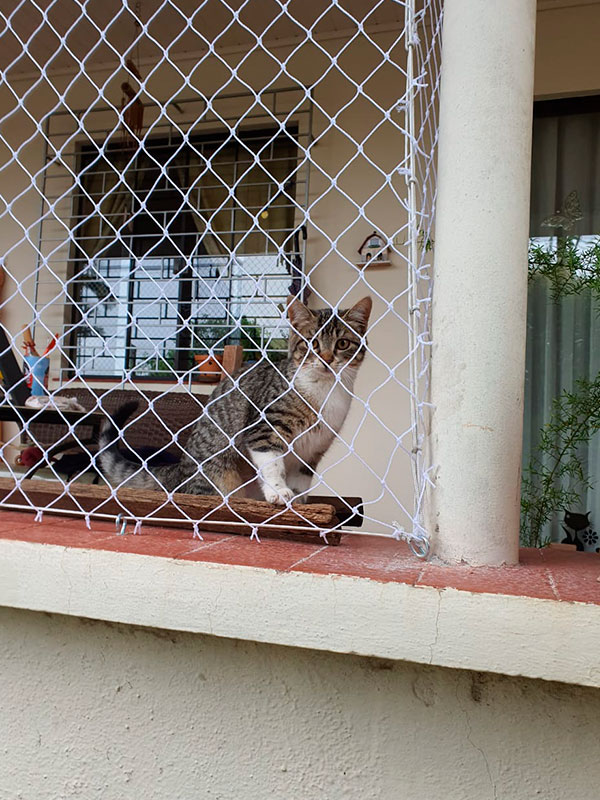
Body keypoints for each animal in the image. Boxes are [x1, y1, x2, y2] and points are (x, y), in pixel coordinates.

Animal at [98, 294, 370, 506]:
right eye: (312, 343)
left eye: (342, 343)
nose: (326, 359)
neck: (324, 391)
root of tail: (180, 469)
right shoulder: (264, 427)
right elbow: (272, 463)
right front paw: (278, 491)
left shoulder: (314, 449)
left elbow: (301, 478)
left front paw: (298, 499)